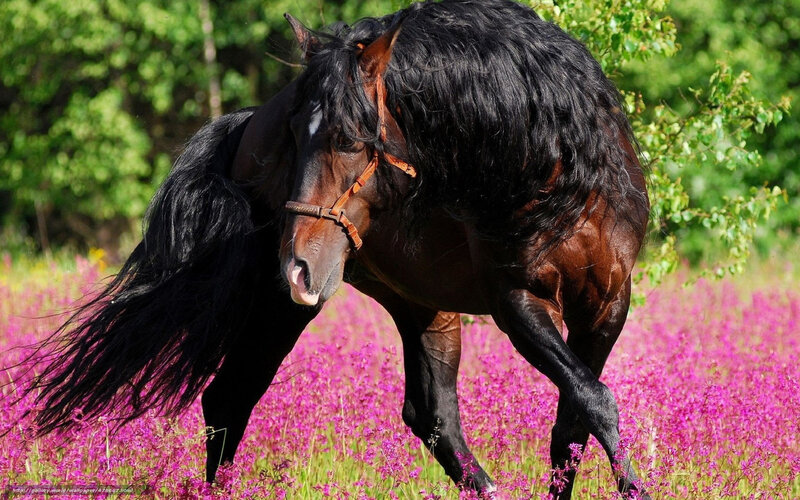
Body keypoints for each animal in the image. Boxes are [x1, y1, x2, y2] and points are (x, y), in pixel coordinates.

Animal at [280, 0, 650, 498]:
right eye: (294, 133)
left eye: (347, 139)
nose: (298, 267)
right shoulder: (517, 304)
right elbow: (593, 399)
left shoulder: (606, 306)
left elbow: (574, 423)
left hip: (421, 304)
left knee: (433, 415)